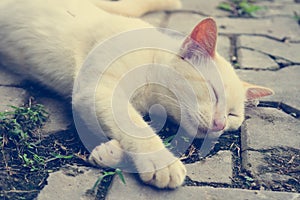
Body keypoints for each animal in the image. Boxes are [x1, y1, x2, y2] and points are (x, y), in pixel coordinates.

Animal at [0, 0, 274, 188]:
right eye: (214, 93)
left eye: (233, 115)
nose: (219, 124)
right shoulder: (96, 89)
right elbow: (136, 125)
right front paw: (160, 160)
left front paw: (109, 153)